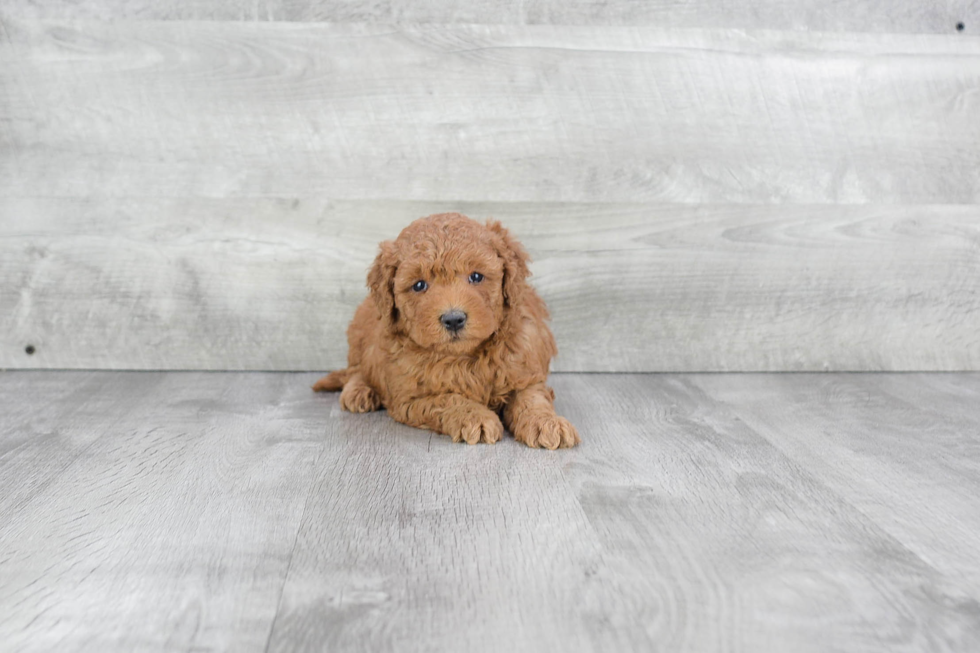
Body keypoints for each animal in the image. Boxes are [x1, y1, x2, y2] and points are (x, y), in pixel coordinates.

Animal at [314, 214, 580, 448]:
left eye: (476, 276)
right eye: (419, 285)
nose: (453, 319)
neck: (465, 356)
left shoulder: (525, 369)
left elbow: (532, 398)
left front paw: (547, 424)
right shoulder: (409, 398)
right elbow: (448, 399)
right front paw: (476, 418)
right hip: (360, 333)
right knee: (356, 369)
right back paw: (359, 392)